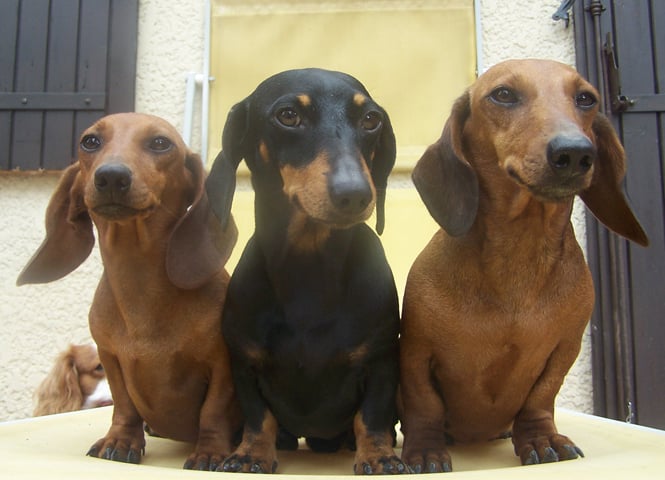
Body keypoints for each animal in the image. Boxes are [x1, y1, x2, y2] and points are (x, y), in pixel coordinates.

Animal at [17, 112, 241, 470]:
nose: (111, 176)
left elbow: (214, 410)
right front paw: (120, 441)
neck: (140, 288)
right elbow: (123, 406)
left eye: (160, 143)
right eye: (90, 141)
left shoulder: (222, 364)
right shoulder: (110, 358)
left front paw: (210, 451)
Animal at [205, 68, 407, 474]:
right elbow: (259, 416)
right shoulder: (244, 363)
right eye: (288, 115)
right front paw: (251, 454)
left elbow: (372, 416)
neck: (308, 272)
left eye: (371, 119)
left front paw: (378, 456)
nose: (356, 194)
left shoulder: (380, 360)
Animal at [399, 59, 649, 472]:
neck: (519, 255)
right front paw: (424, 449)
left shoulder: (565, 349)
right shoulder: (417, 352)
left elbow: (540, 398)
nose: (574, 153)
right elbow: (424, 405)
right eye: (503, 94)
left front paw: (540, 438)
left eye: (586, 98)